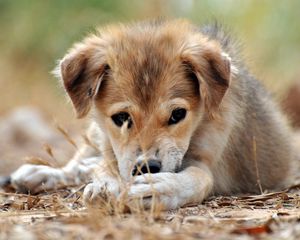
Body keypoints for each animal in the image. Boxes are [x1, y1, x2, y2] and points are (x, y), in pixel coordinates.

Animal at [8, 19, 296, 209]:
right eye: (121, 118)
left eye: (178, 115)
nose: (147, 167)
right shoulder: (112, 144)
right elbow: (107, 166)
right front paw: (105, 185)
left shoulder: (207, 159)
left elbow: (197, 179)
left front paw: (156, 189)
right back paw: (43, 173)